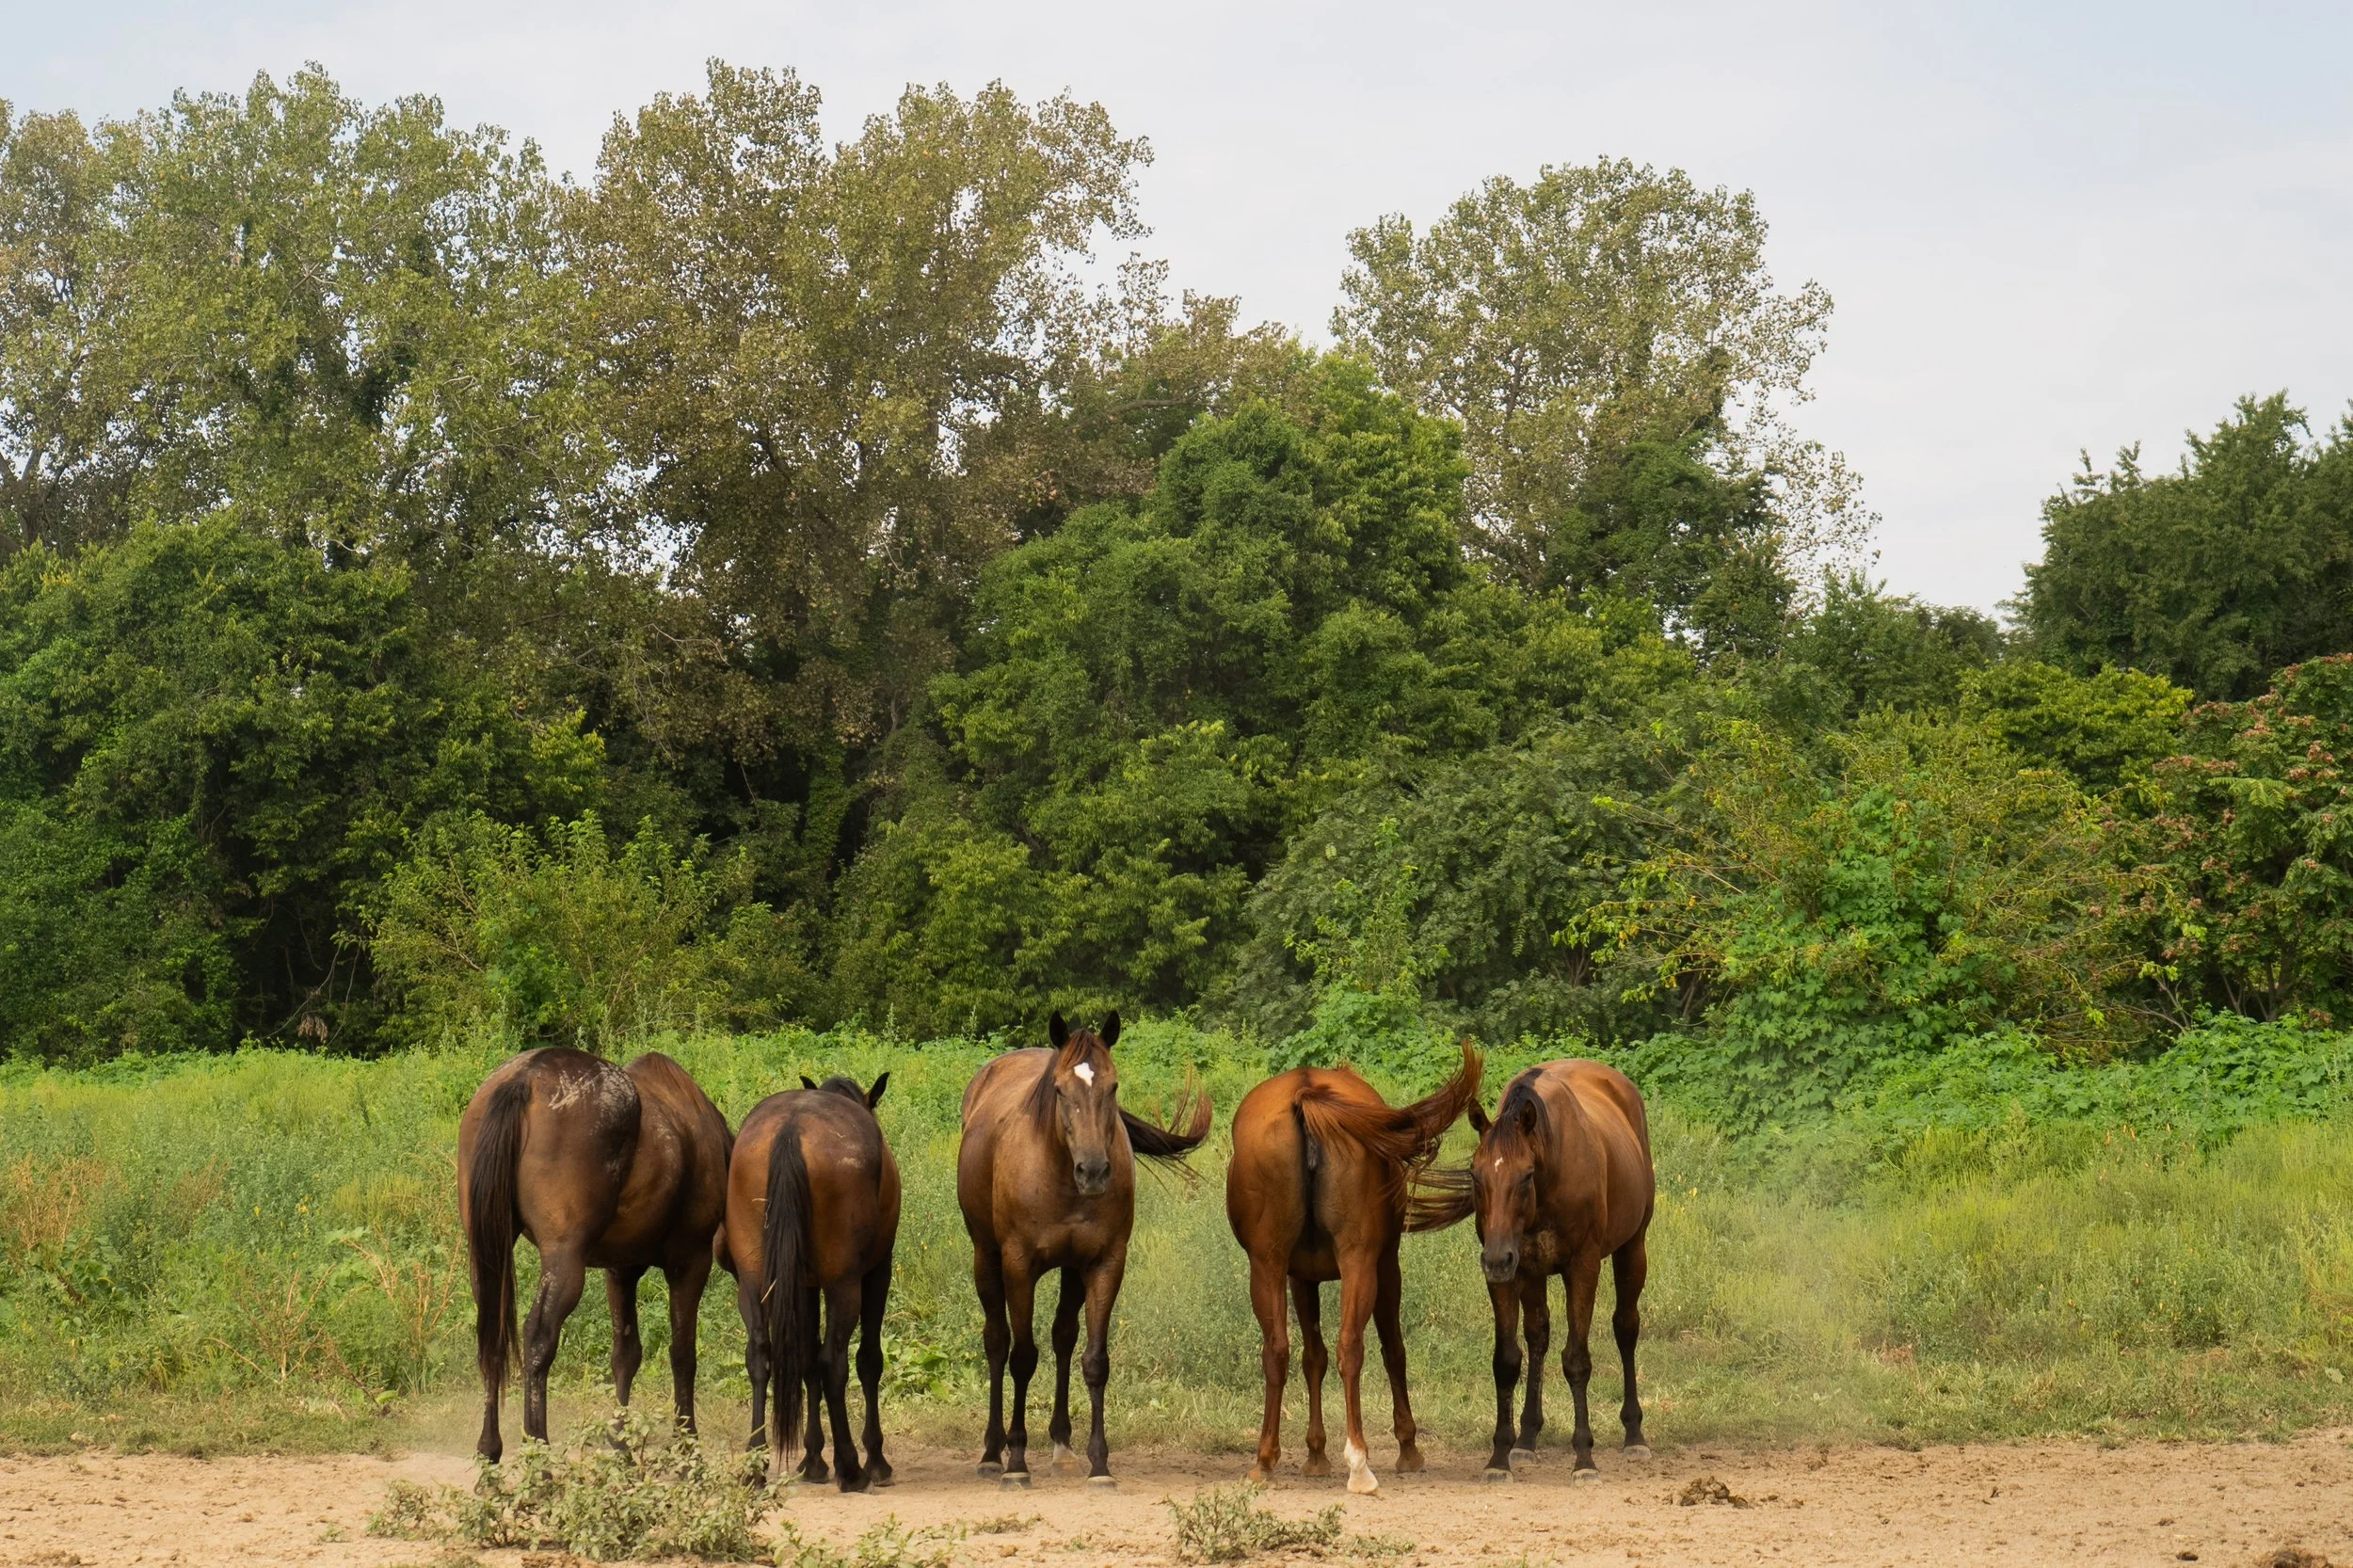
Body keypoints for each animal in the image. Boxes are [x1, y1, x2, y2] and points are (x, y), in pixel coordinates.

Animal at [457, 1047, 733, 1462]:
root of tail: (524, 1077)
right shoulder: (690, 1260)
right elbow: (683, 1354)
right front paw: (687, 1451)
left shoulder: (620, 1269)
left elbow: (626, 1354)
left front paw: (622, 1444)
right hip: (565, 1260)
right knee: (538, 1336)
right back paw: (539, 1456)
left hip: (490, 1258)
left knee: (492, 1333)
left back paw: (489, 1451)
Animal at [719, 1071, 901, 1492]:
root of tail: (791, 1130)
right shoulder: (877, 1271)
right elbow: (867, 1360)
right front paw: (875, 1458)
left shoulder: (801, 1285)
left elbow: (803, 1361)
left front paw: (813, 1457)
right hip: (844, 1284)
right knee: (834, 1361)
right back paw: (852, 1468)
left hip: (754, 1281)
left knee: (761, 1355)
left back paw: (756, 1463)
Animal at [956, 1011, 1212, 1488]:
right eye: (1059, 1090)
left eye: (1112, 1086)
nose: (1093, 1171)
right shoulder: (1018, 1265)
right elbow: (1022, 1357)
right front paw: (1016, 1461)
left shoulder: (1103, 1263)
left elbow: (1094, 1361)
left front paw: (1100, 1464)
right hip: (986, 1256)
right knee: (997, 1342)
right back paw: (992, 1452)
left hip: (1071, 1271)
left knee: (1062, 1338)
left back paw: (1062, 1446)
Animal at [1224, 1042, 1483, 1495]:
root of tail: (1306, 1095)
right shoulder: (1386, 1264)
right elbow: (1392, 1350)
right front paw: (1407, 1447)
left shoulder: (1298, 1276)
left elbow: (1313, 1356)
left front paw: (1315, 1453)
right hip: (1361, 1263)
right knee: (1353, 1347)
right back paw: (1359, 1463)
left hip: (1269, 1265)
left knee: (1279, 1350)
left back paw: (1266, 1459)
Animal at [1451, 1059, 1655, 1482]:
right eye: (1476, 1175)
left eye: (1525, 1175)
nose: (1496, 1259)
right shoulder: (1512, 1272)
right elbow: (1508, 1360)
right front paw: (1499, 1457)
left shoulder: (1583, 1267)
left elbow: (1576, 1361)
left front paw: (1585, 1459)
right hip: (1530, 1273)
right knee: (1538, 1337)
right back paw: (1527, 1440)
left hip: (1633, 1247)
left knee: (1626, 1328)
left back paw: (1634, 1435)